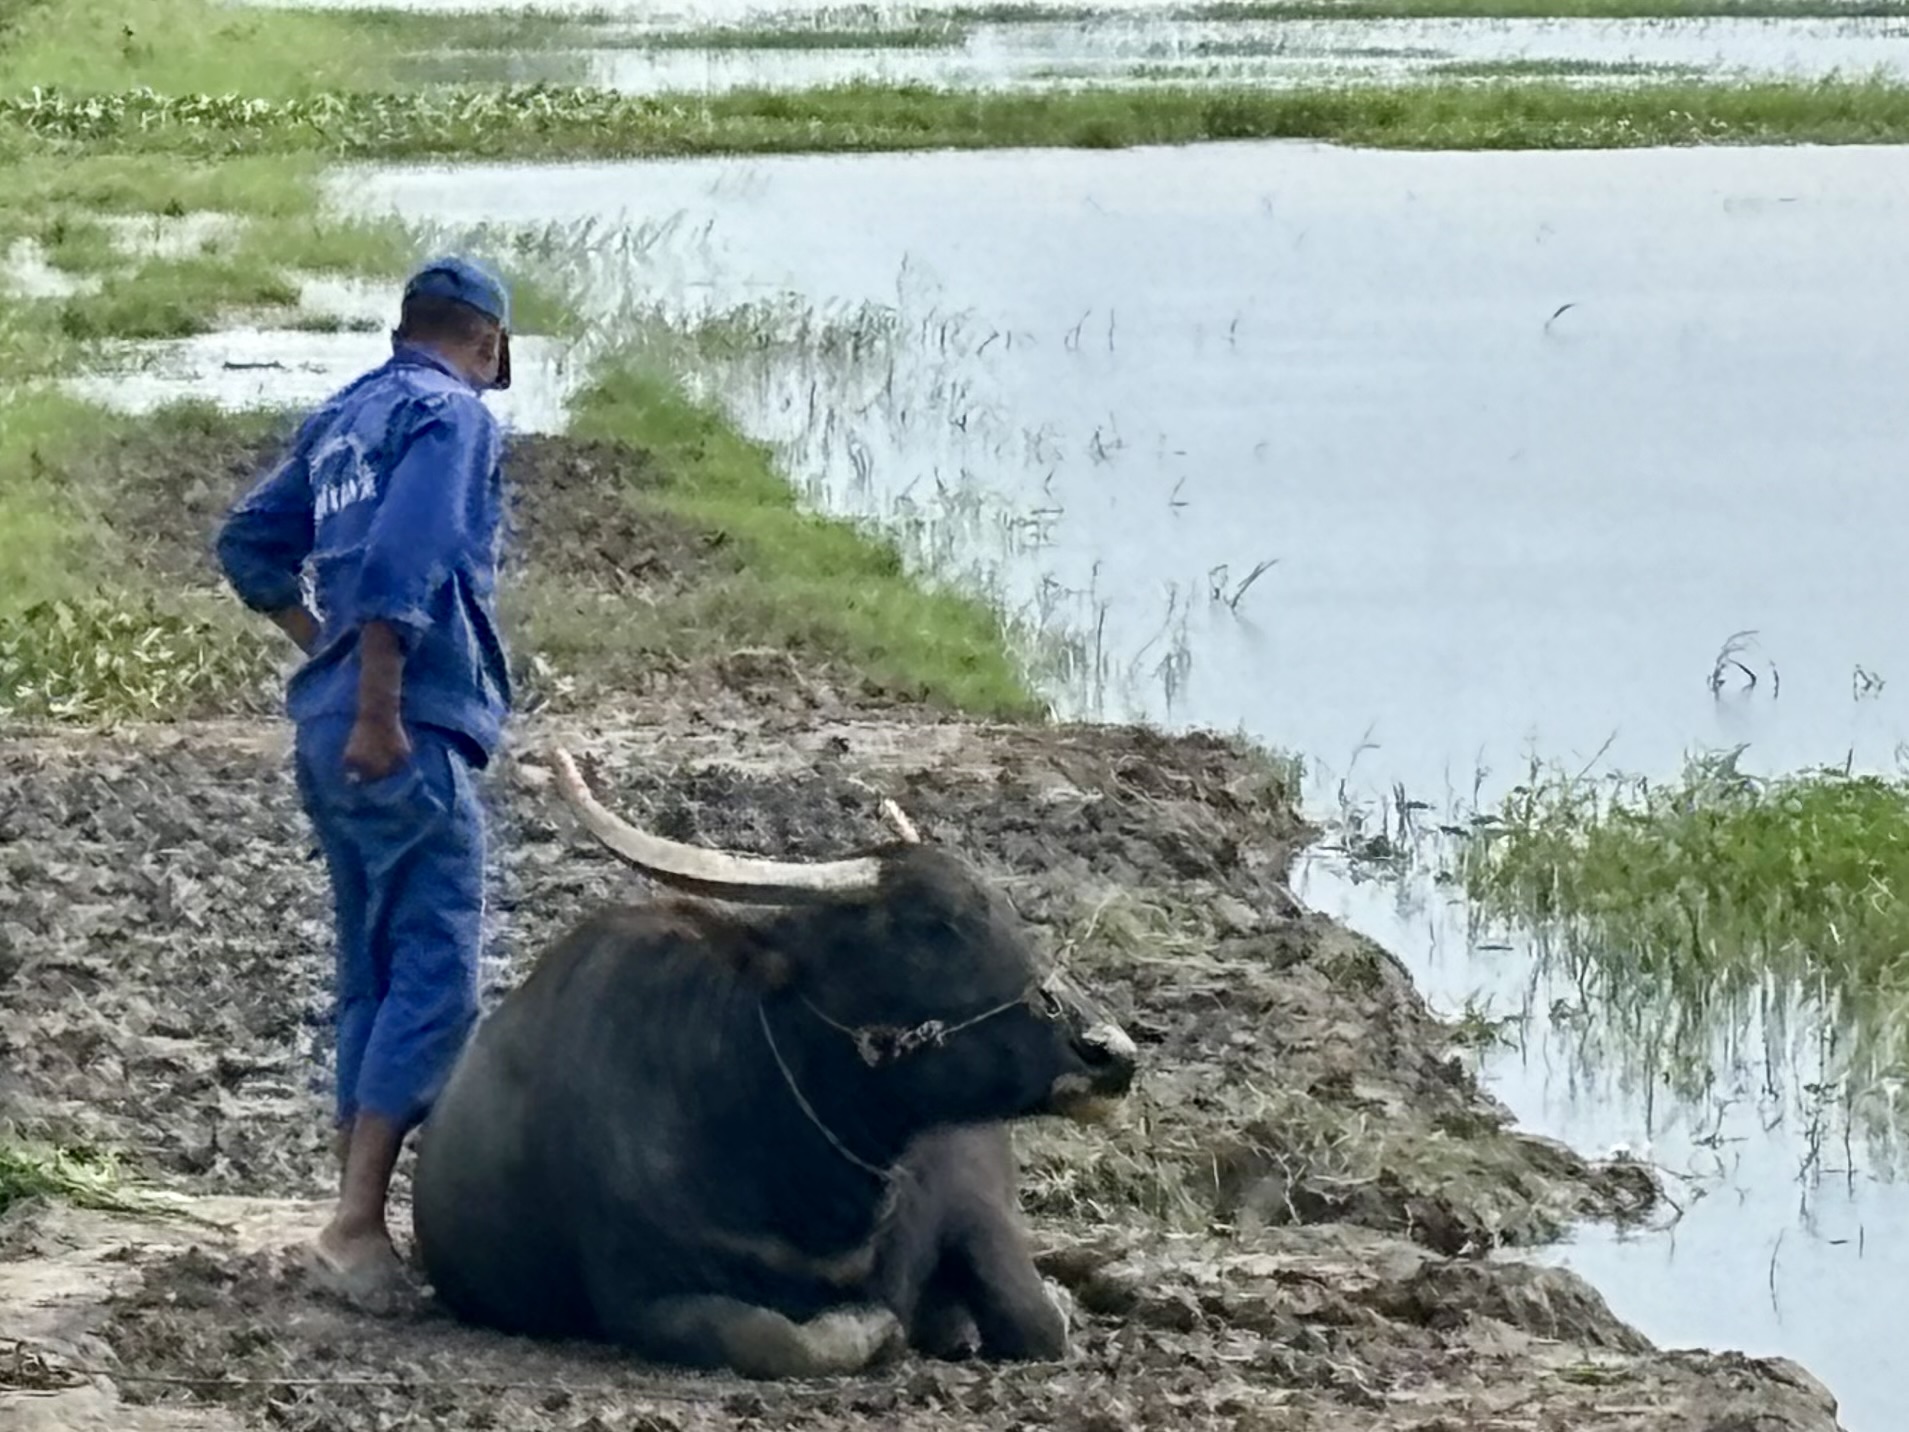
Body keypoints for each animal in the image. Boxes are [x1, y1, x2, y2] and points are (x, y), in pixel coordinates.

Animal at [410, 748, 1139, 1378]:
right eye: (929, 926)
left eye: (1004, 910)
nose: (1110, 1050)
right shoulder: (641, 1296)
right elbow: (778, 1339)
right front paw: (876, 1328)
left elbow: (1033, 1321)